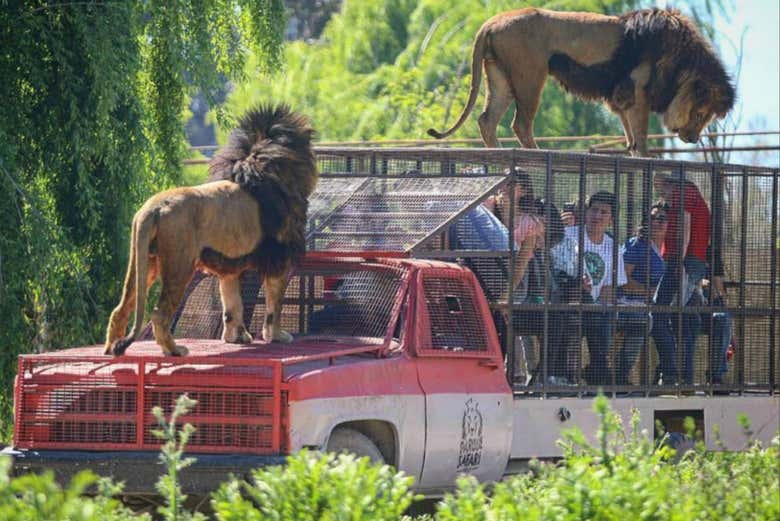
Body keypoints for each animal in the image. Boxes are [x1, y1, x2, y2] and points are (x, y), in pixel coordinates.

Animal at [430, 6, 736, 156]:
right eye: (701, 113)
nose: (693, 138)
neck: (681, 61)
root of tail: (491, 22)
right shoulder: (636, 91)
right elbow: (641, 134)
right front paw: (647, 157)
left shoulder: (620, 97)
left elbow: (630, 135)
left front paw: (633, 153)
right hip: (530, 77)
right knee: (520, 124)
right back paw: (536, 154)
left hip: (501, 78)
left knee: (487, 120)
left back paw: (497, 153)